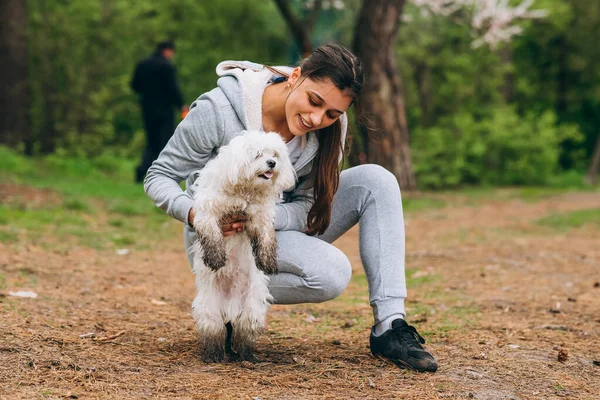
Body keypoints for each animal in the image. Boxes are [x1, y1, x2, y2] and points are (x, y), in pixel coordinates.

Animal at [190, 130, 296, 362]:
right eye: (258, 154)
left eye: (274, 154)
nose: (272, 163)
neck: (245, 191)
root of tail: (230, 306)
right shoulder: (208, 212)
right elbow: (212, 234)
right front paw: (216, 257)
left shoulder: (260, 217)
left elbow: (266, 238)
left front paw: (267, 261)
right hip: (209, 309)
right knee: (215, 331)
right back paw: (214, 354)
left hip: (252, 308)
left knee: (244, 332)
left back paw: (247, 356)